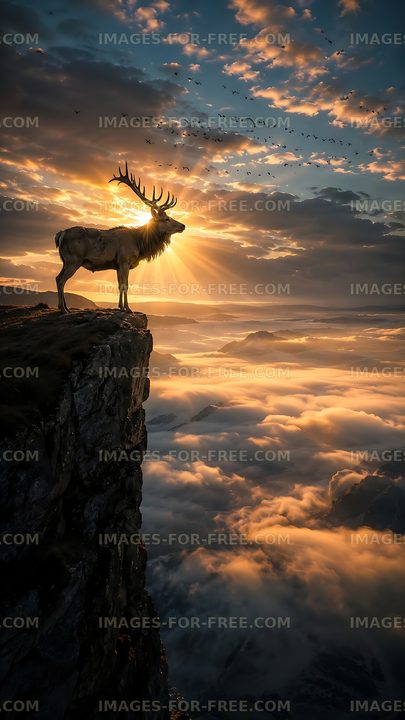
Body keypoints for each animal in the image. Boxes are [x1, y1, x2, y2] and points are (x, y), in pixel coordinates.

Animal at [55, 163, 185, 313]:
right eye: (166, 219)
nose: (183, 226)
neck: (140, 245)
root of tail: (61, 234)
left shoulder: (117, 264)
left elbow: (119, 285)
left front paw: (120, 306)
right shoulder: (124, 260)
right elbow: (125, 285)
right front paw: (127, 308)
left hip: (66, 261)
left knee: (58, 278)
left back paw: (66, 307)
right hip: (73, 260)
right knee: (60, 279)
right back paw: (63, 309)